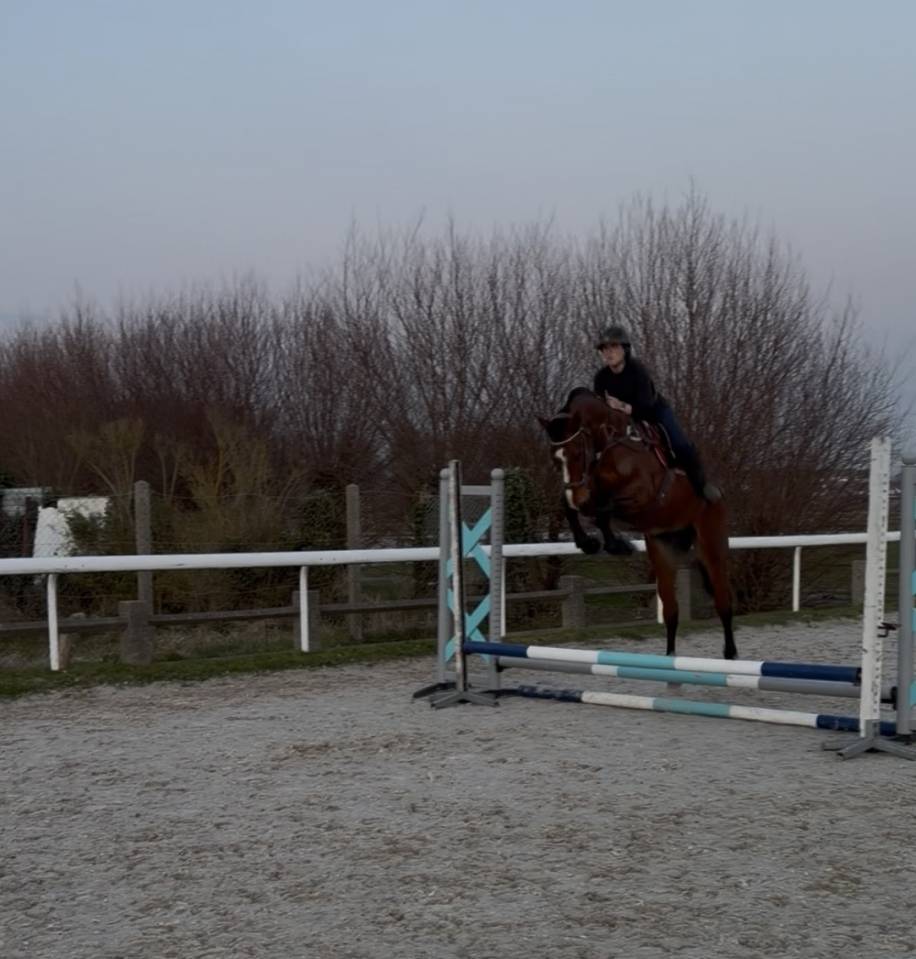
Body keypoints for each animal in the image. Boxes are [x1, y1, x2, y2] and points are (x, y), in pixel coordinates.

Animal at [538, 387, 737, 660]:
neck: (608, 446)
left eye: (577, 453)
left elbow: (602, 509)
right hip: (662, 547)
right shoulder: (588, 491)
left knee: (723, 601)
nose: (576, 496)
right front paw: (590, 543)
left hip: (711, 545)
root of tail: (720, 495)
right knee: (671, 610)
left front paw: (615, 545)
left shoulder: (640, 497)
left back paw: (731, 654)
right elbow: (574, 506)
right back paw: (669, 658)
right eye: (555, 460)